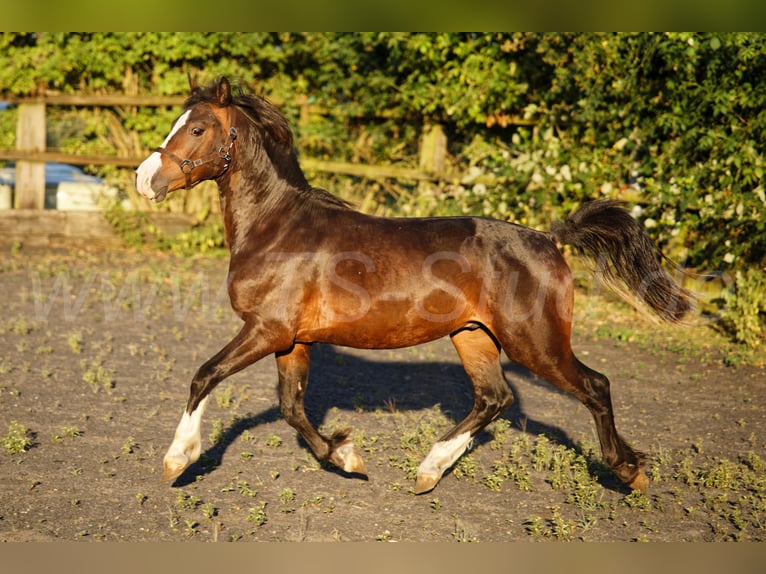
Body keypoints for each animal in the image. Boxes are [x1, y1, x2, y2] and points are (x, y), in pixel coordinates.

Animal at [135, 76, 691, 495]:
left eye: (198, 128)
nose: (144, 180)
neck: (278, 226)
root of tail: (550, 239)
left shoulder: (266, 329)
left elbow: (204, 376)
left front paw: (176, 460)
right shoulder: (291, 340)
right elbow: (292, 408)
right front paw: (346, 456)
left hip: (535, 342)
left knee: (594, 387)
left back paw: (630, 472)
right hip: (473, 336)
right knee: (494, 398)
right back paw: (429, 471)